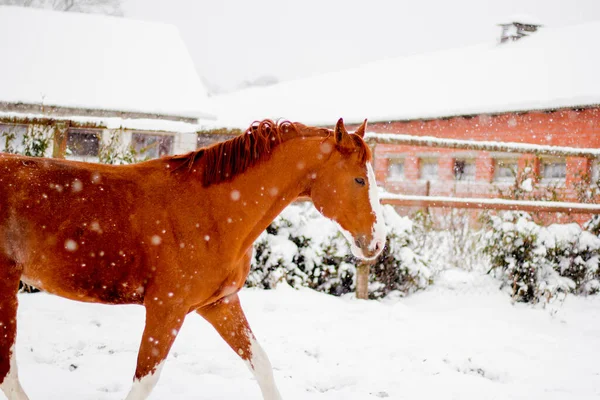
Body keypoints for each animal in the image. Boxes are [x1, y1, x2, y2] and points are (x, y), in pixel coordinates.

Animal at [0, 117, 384, 398]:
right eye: (359, 180)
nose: (377, 244)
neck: (213, 211)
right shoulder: (166, 310)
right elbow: (144, 381)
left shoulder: (220, 304)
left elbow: (262, 364)